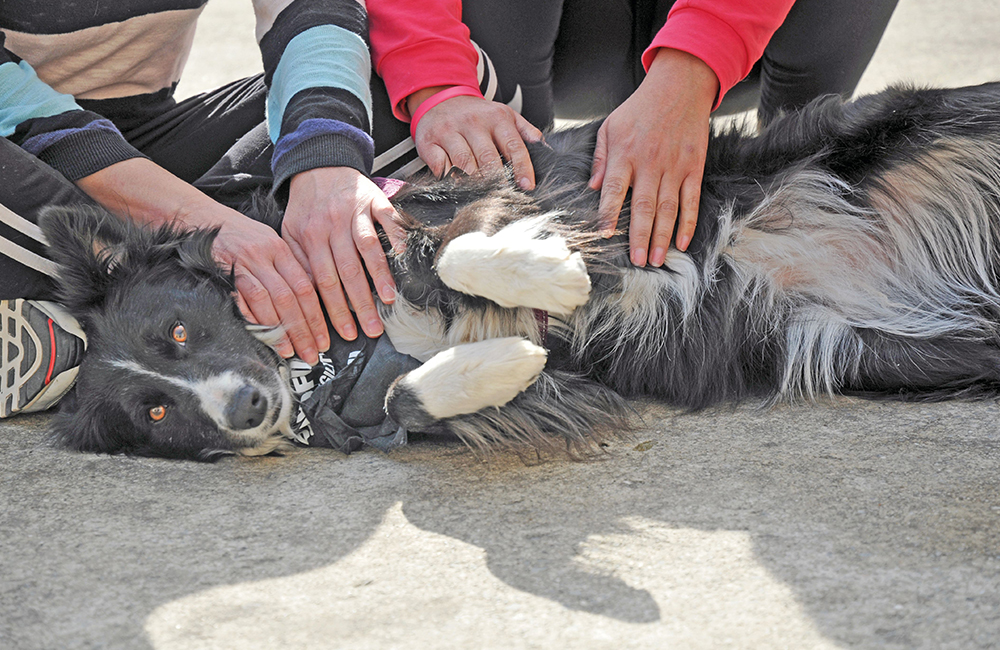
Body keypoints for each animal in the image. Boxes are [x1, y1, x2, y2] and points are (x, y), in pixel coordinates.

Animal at [41, 79, 1000, 456]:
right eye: (157, 414)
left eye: (179, 330)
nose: (243, 409)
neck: (327, 359)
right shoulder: (540, 394)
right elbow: (413, 397)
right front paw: (504, 357)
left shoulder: (468, 189)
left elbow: (458, 244)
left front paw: (555, 279)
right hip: (862, 346)